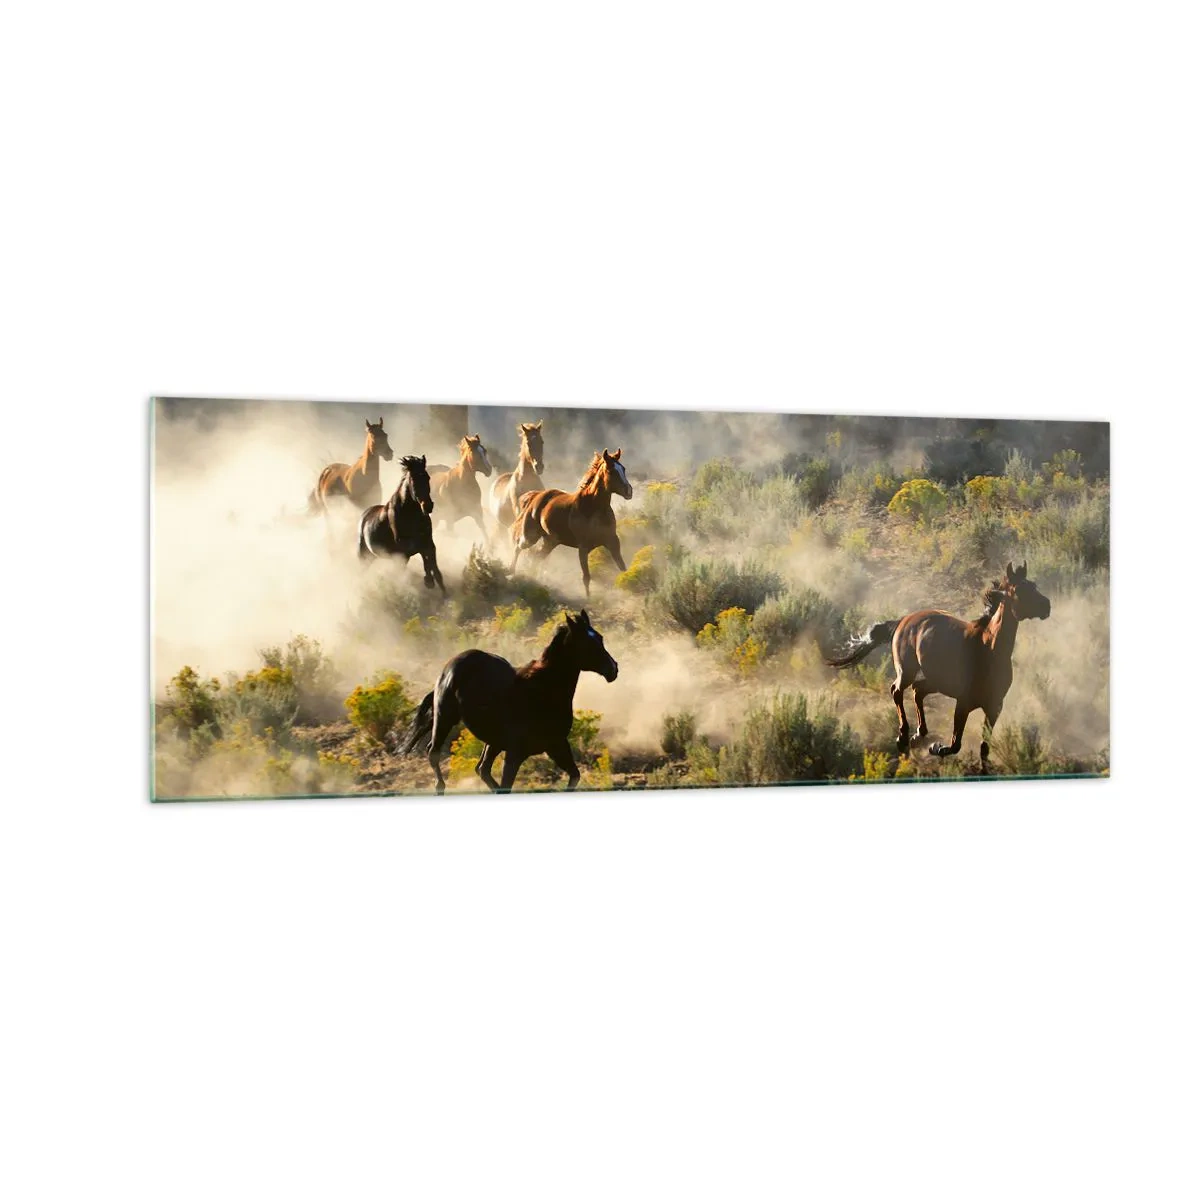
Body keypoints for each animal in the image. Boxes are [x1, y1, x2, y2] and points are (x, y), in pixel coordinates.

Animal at [357, 454, 446, 595]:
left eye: (427, 477)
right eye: (414, 479)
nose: (428, 506)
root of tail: (364, 516)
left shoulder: (429, 543)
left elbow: (436, 571)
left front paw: (437, 587)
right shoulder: (405, 550)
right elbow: (424, 557)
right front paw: (428, 580)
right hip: (364, 556)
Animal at [395, 609, 618, 794]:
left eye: (600, 637)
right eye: (587, 643)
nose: (613, 669)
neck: (543, 691)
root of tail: (450, 666)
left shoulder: (556, 745)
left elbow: (574, 776)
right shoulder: (515, 754)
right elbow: (506, 784)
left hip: (491, 740)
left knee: (482, 769)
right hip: (445, 717)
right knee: (433, 752)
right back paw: (439, 787)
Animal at [510, 449, 632, 596]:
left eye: (623, 469)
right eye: (611, 470)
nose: (629, 491)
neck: (593, 508)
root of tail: (536, 496)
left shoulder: (612, 542)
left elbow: (623, 569)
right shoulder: (583, 547)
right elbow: (586, 577)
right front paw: (588, 599)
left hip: (550, 541)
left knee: (536, 557)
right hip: (530, 536)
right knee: (518, 547)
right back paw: (511, 572)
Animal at [825, 561, 1051, 768]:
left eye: (1034, 585)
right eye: (1020, 589)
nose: (1046, 606)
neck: (988, 649)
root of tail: (904, 619)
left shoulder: (994, 707)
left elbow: (984, 748)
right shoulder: (963, 702)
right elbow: (955, 744)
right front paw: (936, 748)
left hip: (936, 680)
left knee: (917, 690)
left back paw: (918, 735)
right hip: (907, 671)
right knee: (897, 690)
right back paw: (903, 737)